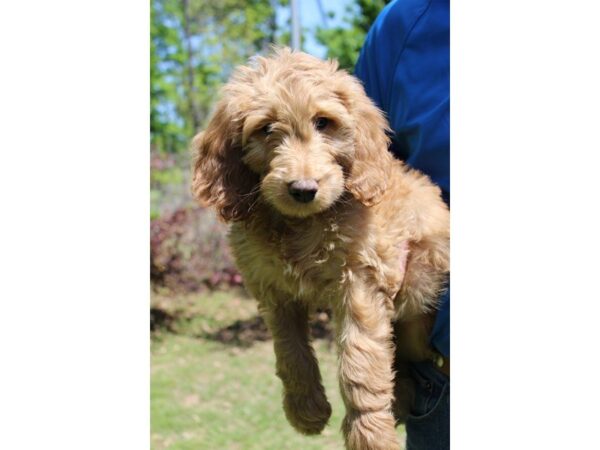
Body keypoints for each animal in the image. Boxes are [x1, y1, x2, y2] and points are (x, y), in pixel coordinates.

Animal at [192, 49, 450, 450]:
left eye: (324, 122)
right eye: (265, 128)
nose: (302, 189)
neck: (301, 224)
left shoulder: (361, 281)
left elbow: (360, 362)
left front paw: (370, 434)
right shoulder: (272, 288)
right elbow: (290, 350)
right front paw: (305, 409)